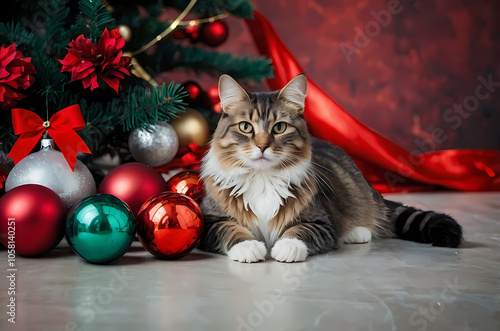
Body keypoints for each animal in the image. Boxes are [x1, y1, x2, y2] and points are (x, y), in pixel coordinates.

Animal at [197, 74, 462, 264]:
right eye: (245, 127)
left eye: (279, 127)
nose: (262, 146)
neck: (263, 178)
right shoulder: (210, 220)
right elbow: (231, 228)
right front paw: (249, 246)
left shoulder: (322, 222)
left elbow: (300, 231)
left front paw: (287, 247)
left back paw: (357, 232)